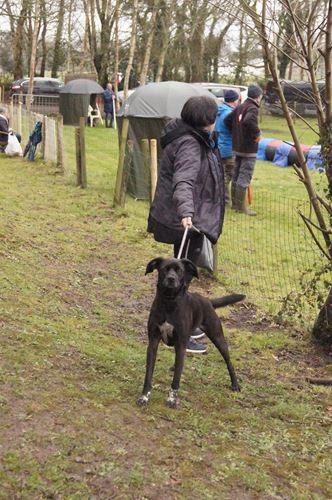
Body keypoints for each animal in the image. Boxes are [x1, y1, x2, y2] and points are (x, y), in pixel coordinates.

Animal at [136, 258, 245, 406]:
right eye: (164, 269)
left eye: (179, 270)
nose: (171, 278)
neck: (169, 302)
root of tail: (207, 301)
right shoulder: (153, 342)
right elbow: (148, 374)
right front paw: (144, 397)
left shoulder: (181, 343)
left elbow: (176, 379)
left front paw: (172, 399)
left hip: (217, 337)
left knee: (229, 362)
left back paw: (235, 384)